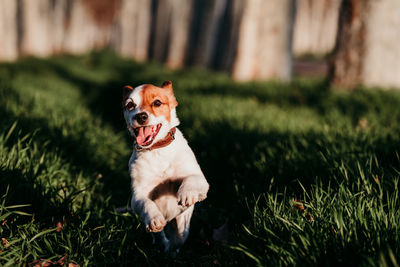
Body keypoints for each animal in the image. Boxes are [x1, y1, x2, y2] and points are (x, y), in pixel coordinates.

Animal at [122, 81, 209, 255]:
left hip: (182, 223)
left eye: (157, 103)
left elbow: (192, 180)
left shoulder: (200, 179)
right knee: (161, 236)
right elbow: (146, 204)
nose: (140, 116)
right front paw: (154, 218)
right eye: (130, 105)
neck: (157, 150)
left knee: (179, 237)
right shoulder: (138, 195)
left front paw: (188, 193)